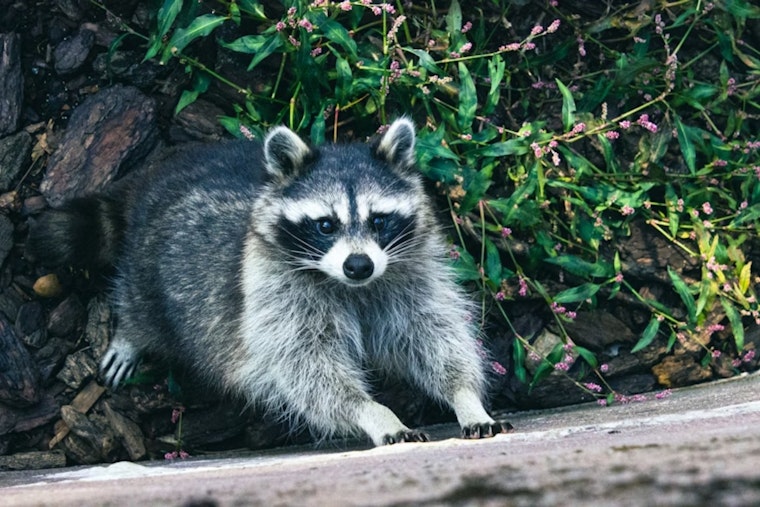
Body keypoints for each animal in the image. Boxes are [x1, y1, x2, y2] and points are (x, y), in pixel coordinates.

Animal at [28, 118, 512, 445]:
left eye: (379, 220)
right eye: (325, 225)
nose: (358, 266)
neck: (351, 288)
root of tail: (159, 177)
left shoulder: (410, 272)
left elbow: (433, 335)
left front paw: (465, 396)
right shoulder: (278, 295)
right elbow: (309, 368)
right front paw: (373, 412)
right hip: (147, 268)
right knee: (140, 305)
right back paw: (130, 333)